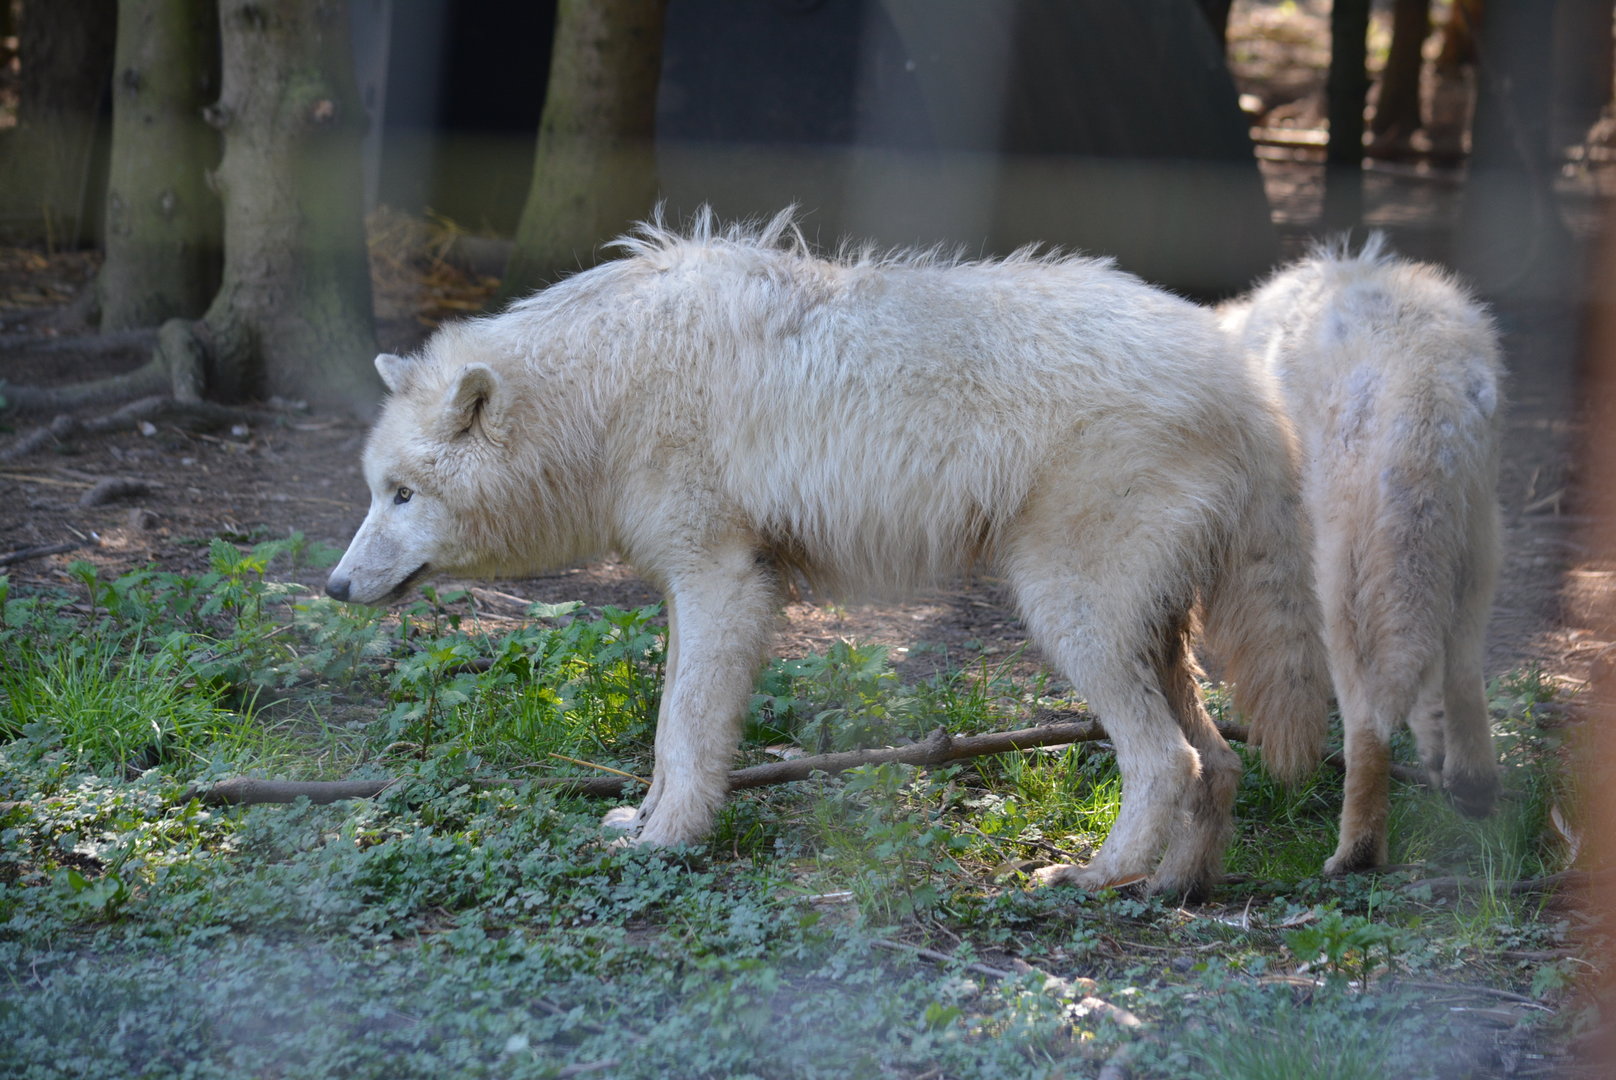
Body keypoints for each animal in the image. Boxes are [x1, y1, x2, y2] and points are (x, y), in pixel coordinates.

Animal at [327, 209, 1329, 897]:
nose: (335, 587)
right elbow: (668, 726)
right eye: (375, 490)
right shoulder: (694, 586)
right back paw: (1172, 890)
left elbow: (686, 726)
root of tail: (1244, 383)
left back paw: (1089, 879)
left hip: (1069, 617)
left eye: (403, 494)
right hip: (1151, 634)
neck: (604, 391)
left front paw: (669, 842)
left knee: (1168, 763)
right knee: (1220, 762)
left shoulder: (723, 580)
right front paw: (642, 820)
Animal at [1221, 235, 1504, 875]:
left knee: (1368, 726)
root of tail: (1425, 384)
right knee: (1462, 671)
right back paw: (1470, 788)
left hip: (1348, 594)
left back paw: (1356, 853)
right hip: (1471, 559)